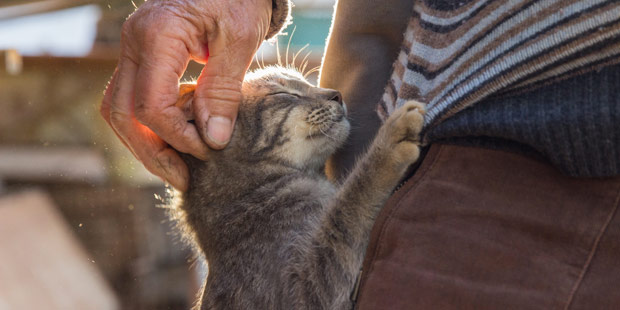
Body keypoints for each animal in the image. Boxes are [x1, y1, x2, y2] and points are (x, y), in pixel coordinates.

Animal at [172, 66, 424, 308]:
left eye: (306, 82)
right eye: (284, 94)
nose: (337, 94)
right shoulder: (304, 289)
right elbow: (350, 204)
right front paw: (390, 141)